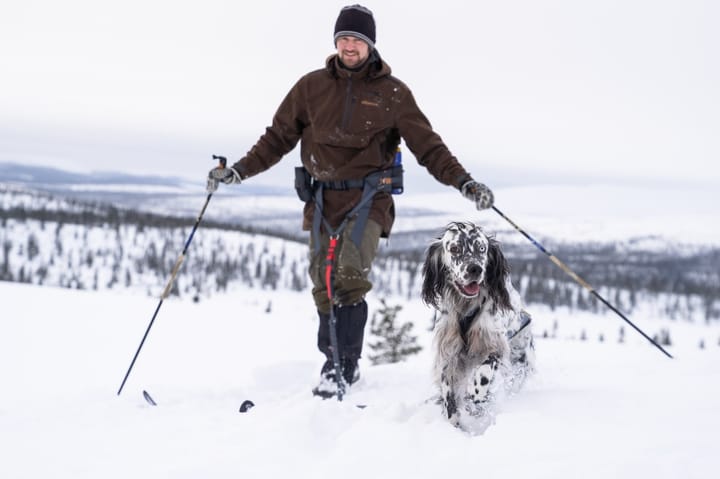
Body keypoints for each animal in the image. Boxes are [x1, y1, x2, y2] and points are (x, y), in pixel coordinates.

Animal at [422, 223, 536, 430]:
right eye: (454, 248)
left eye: (481, 248)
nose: (475, 269)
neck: (465, 306)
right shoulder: (448, 353)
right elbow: (448, 392)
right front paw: (454, 421)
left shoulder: (493, 345)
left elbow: (483, 373)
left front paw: (476, 395)